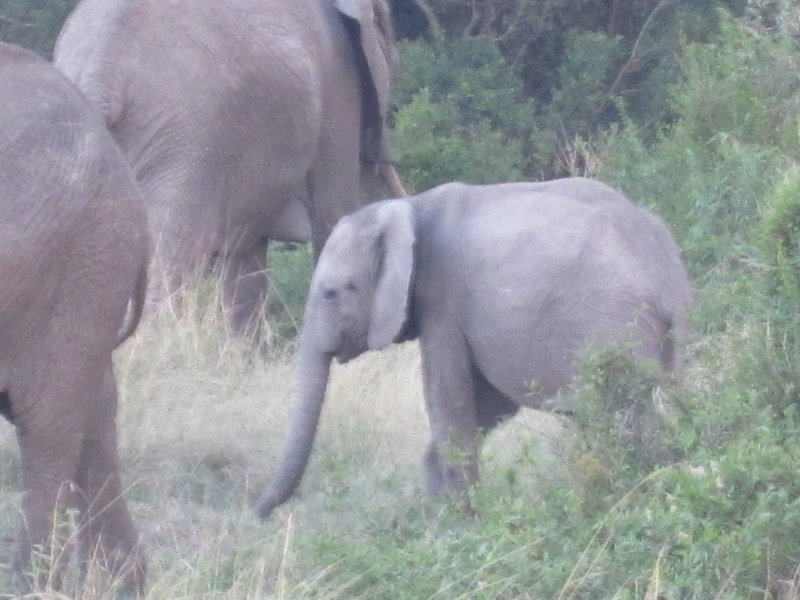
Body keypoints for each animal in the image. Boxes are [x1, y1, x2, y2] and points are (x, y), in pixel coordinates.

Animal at [254, 177, 693, 517]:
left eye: (331, 293)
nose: (257, 513)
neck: (407, 208)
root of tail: (668, 284)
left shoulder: (441, 299)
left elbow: (450, 397)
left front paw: (460, 528)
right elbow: (489, 403)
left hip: (611, 328)